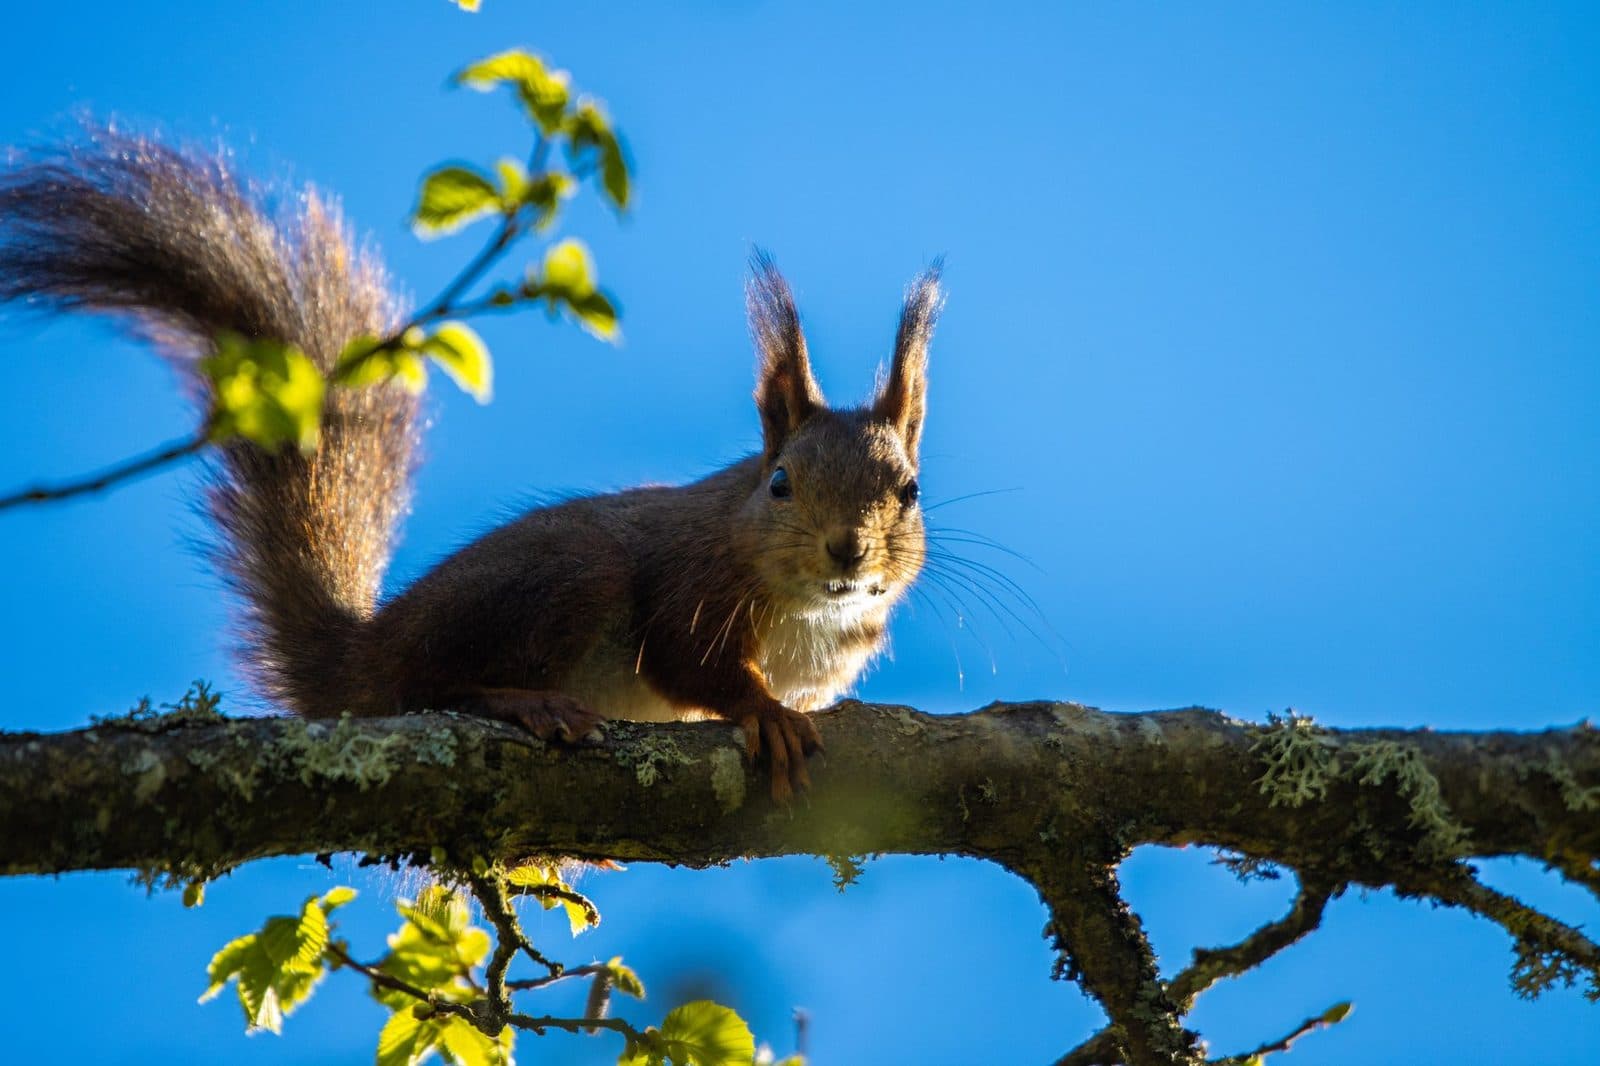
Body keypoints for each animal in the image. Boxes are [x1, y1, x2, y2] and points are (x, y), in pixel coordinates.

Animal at [0, 131, 941, 801]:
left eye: (909, 491)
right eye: (780, 484)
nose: (848, 551)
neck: (809, 615)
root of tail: (361, 657)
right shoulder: (689, 583)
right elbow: (688, 666)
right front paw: (761, 710)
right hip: (567, 576)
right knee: (429, 688)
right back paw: (519, 701)